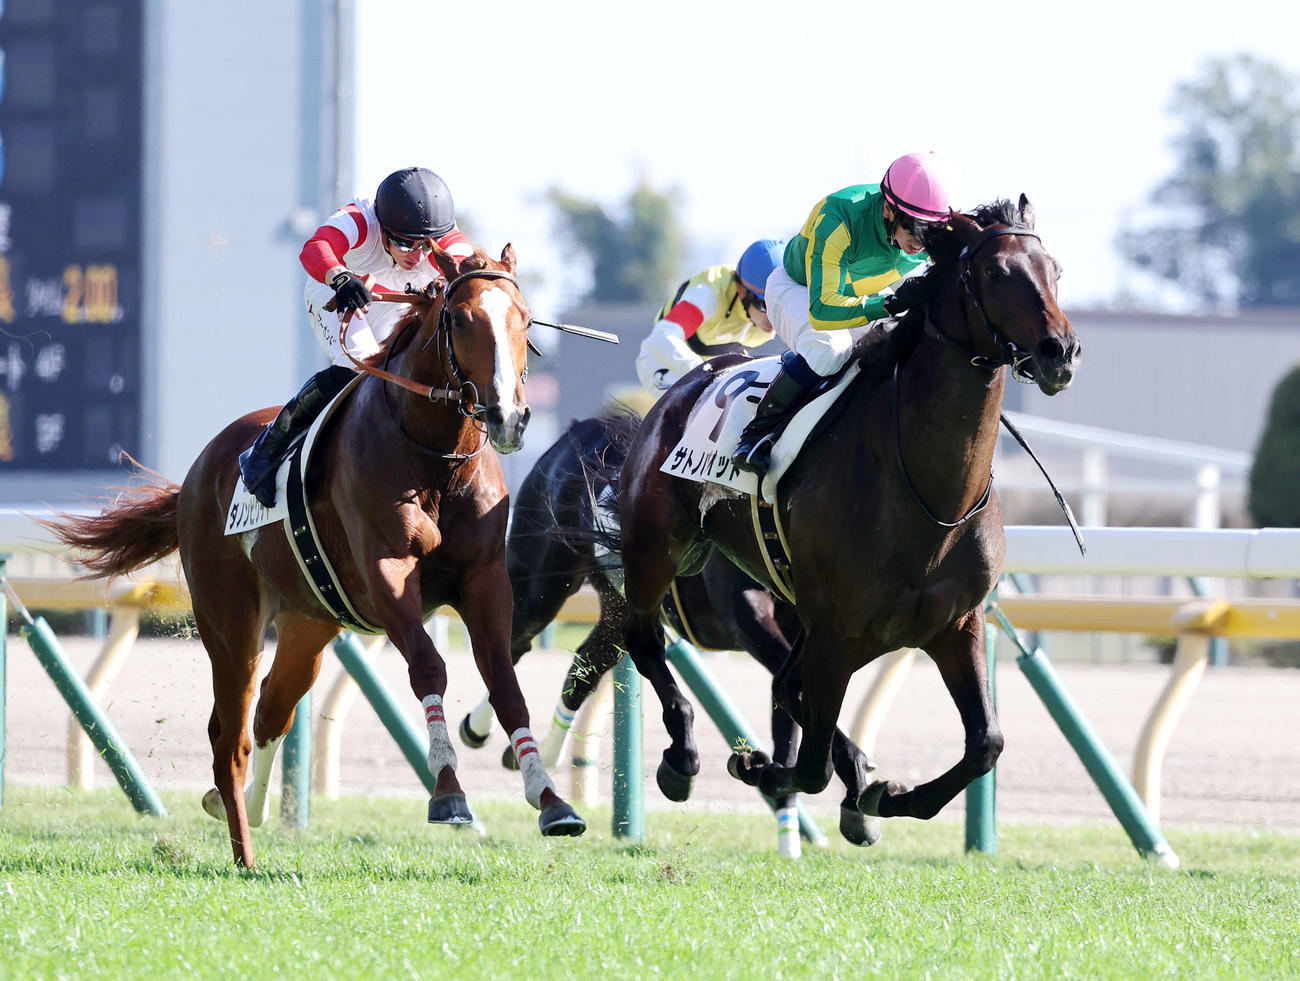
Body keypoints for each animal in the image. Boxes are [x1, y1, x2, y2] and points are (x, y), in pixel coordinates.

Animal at [43, 243, 586, 866]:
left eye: (524, 319)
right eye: (460, 319)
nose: (508, 417)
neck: (434, 455)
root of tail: (196, 475)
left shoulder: (485, 578)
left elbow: (505, 681)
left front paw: (551, 800)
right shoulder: (387, 574)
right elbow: (429, 666)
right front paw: (449, 795)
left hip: (309, 624)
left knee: (271, 712)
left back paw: (242, 810)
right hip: (231, 623)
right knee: (230, 734)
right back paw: (244, 852)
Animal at [457, 412, 884, 850]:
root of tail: (574, 432)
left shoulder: (801, 623)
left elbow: (789, 715)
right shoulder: (748, 616)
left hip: (617, 604)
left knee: (584, 665)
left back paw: (542, 751)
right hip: (541, 580)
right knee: (512, 642)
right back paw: (477, 728)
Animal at [611, 197, 1080, 835]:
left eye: (1054, 269)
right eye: (995, 272)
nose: (1061, 351)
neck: (931, 500)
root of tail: (686, 384)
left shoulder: (955, 624)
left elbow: (986, 742)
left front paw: (887, 796)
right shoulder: (834, 634)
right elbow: (809, 763)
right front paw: (782, 772)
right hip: (656, 549)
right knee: (644, 637)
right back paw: (681, 756)